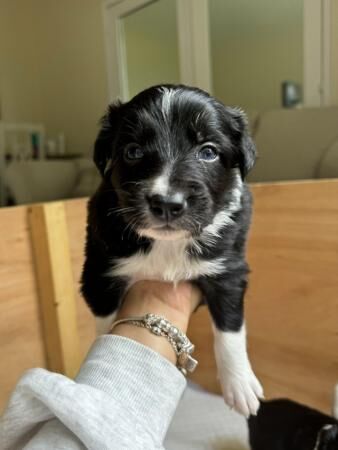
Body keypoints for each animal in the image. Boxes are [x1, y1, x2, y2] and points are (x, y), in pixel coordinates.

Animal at [82, 83, 264, 414]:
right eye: (133, 151)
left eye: (208, 151)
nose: (167, 203)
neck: (167, 244)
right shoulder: (99, 274)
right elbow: (107, 323)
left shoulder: (227, 270)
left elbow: (230, 329)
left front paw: (240, 384)